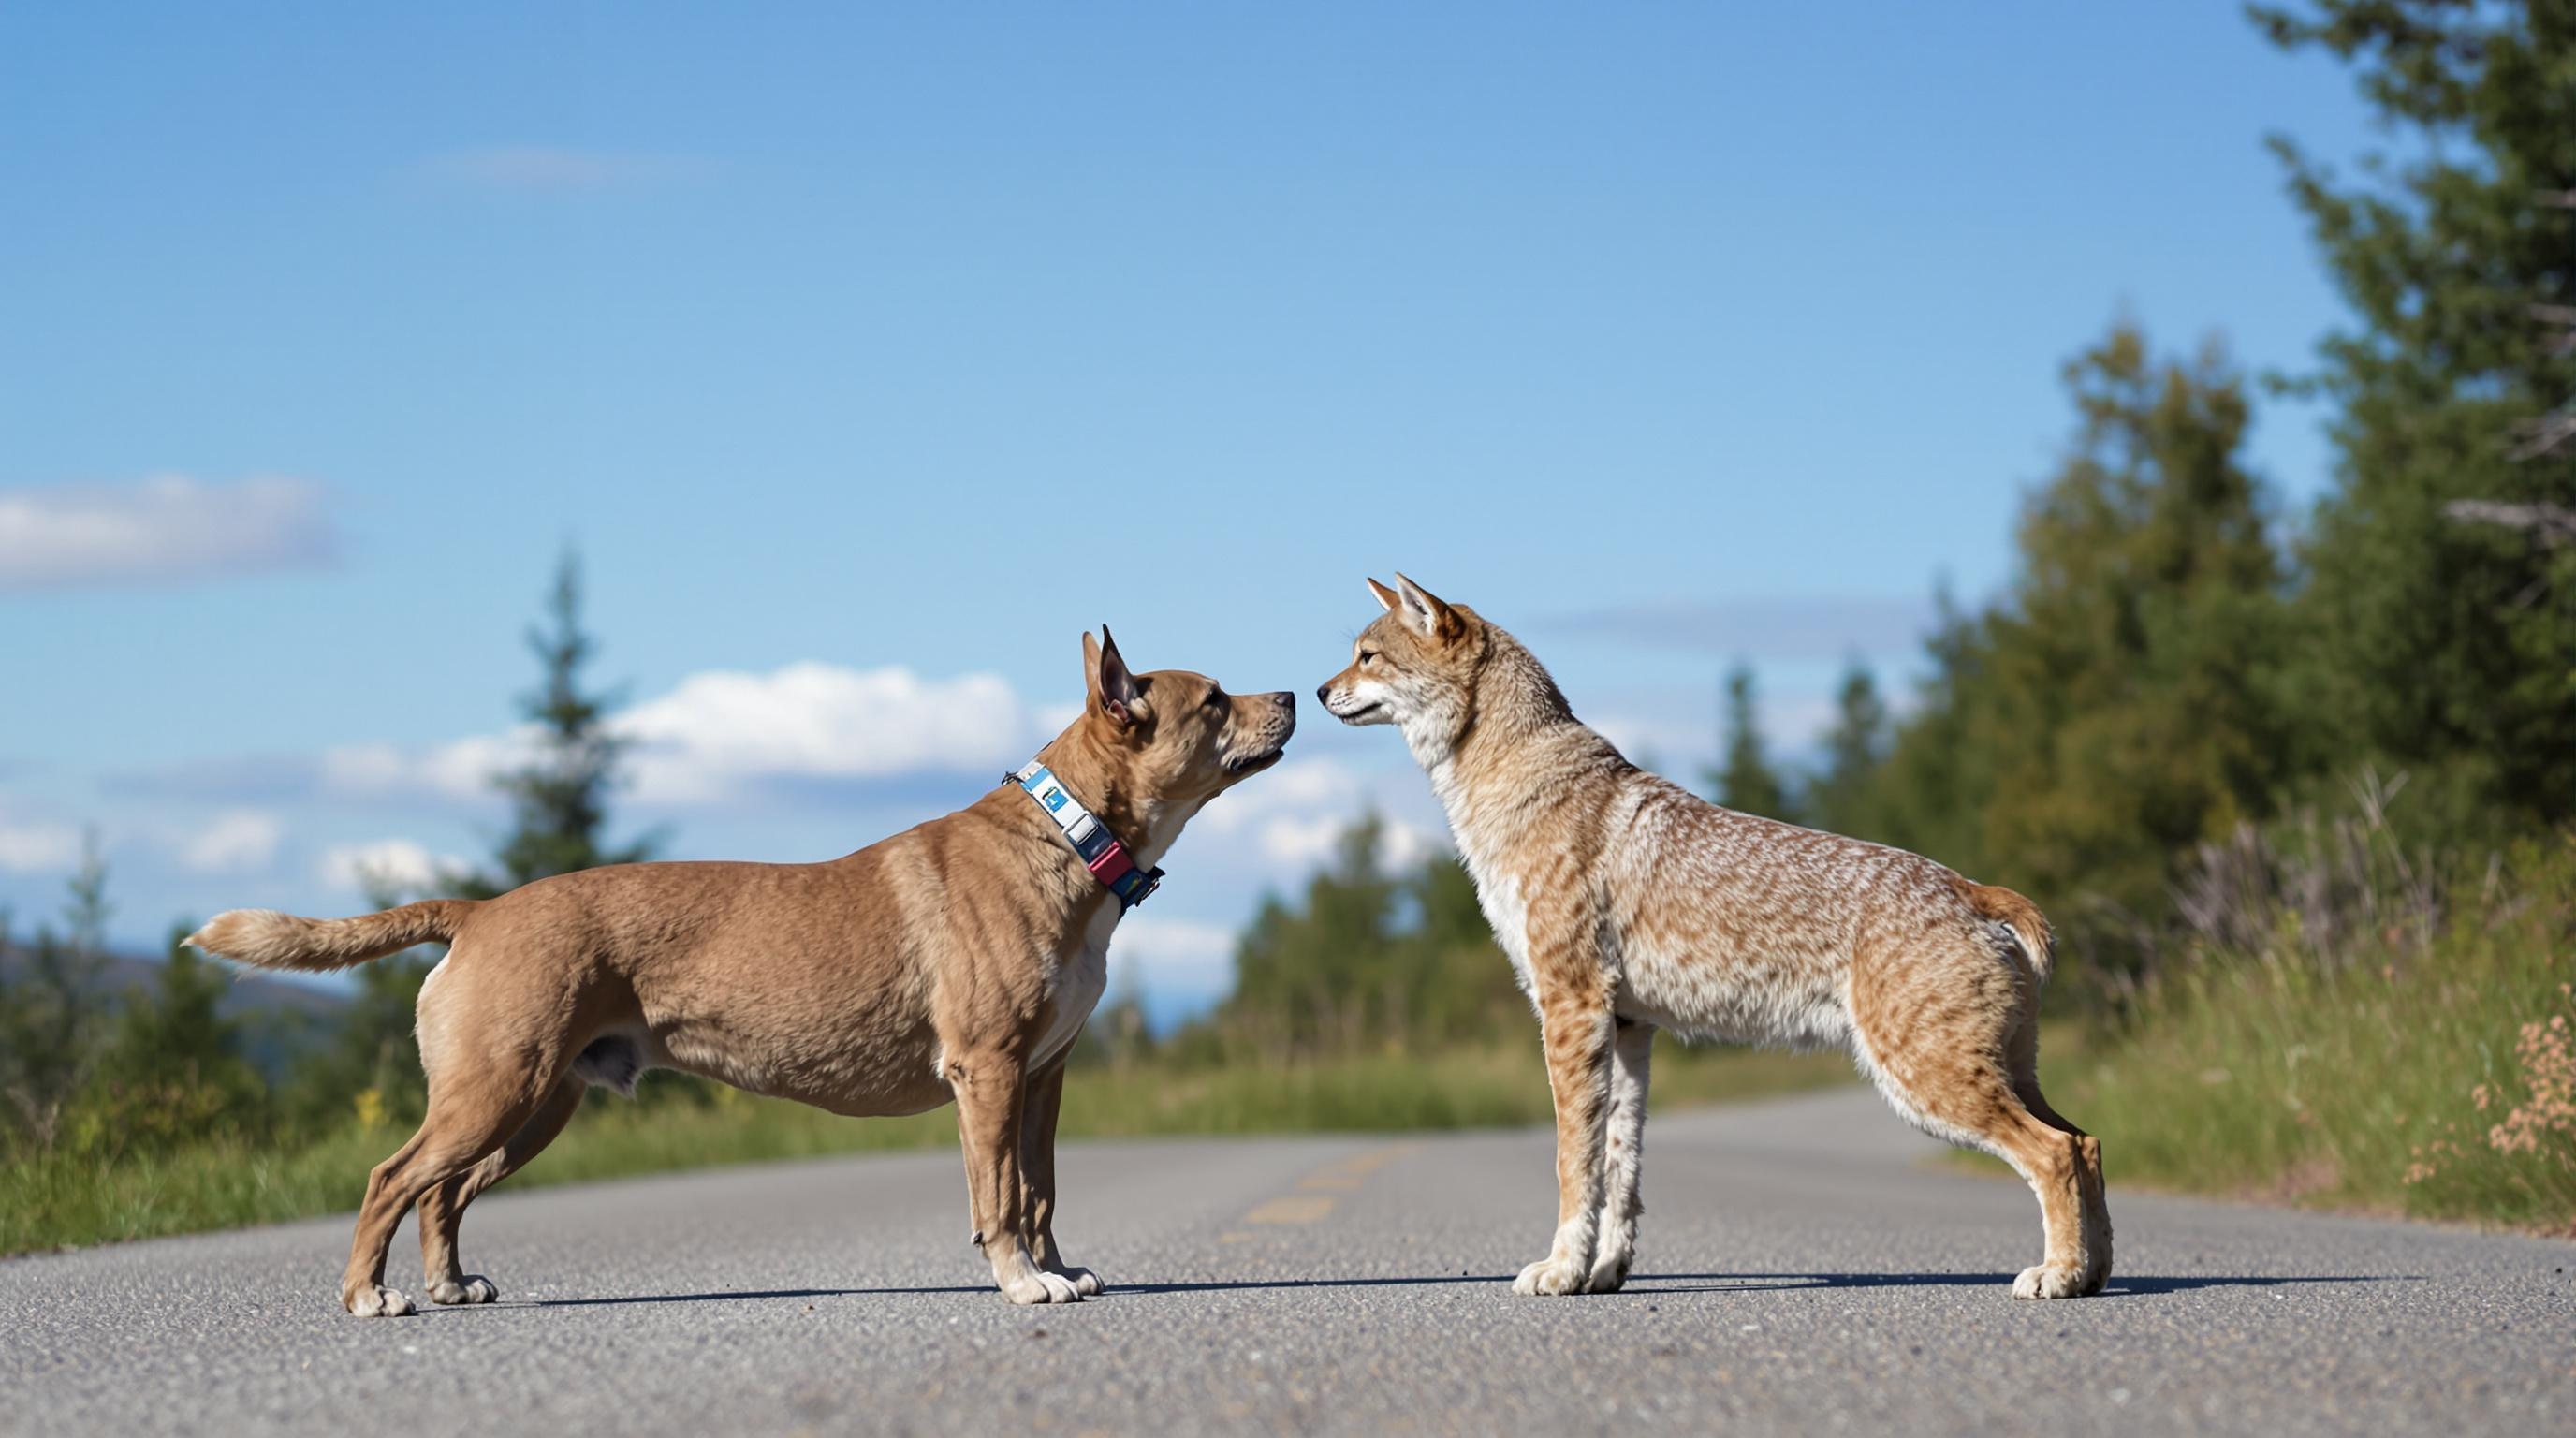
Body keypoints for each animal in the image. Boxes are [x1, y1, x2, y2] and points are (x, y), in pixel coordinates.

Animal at [190, 631, 1298, 1319]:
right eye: (1212, 701)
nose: (1292, 694)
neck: (1071, 839)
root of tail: (480, 909)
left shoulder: (1042, 1078)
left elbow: (1043, 1189)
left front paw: (1061, 1271)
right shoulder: (986, 1072)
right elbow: (998, 1198)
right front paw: (1024, 1284)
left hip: (534, 1103)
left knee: (444, 1194)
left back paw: (452, 1287)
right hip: (494, 1089)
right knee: (394, 1178)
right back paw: (369, 1296)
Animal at [1329, 580, 2112, 1303]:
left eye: (1367, 656)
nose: (1318, 690)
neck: (1505, 776)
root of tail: (1970, 889)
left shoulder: (1569, 1008)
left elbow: (1572, 1165)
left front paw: (1559, 1272)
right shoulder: (1628, 1026)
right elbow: (1620, 1171)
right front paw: (1604, 1273)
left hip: (1929, 1083)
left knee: (2055, 1153)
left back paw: (2056, 1276)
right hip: (1997, 1075)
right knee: (2088, 1143)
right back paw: (2091, 1274)